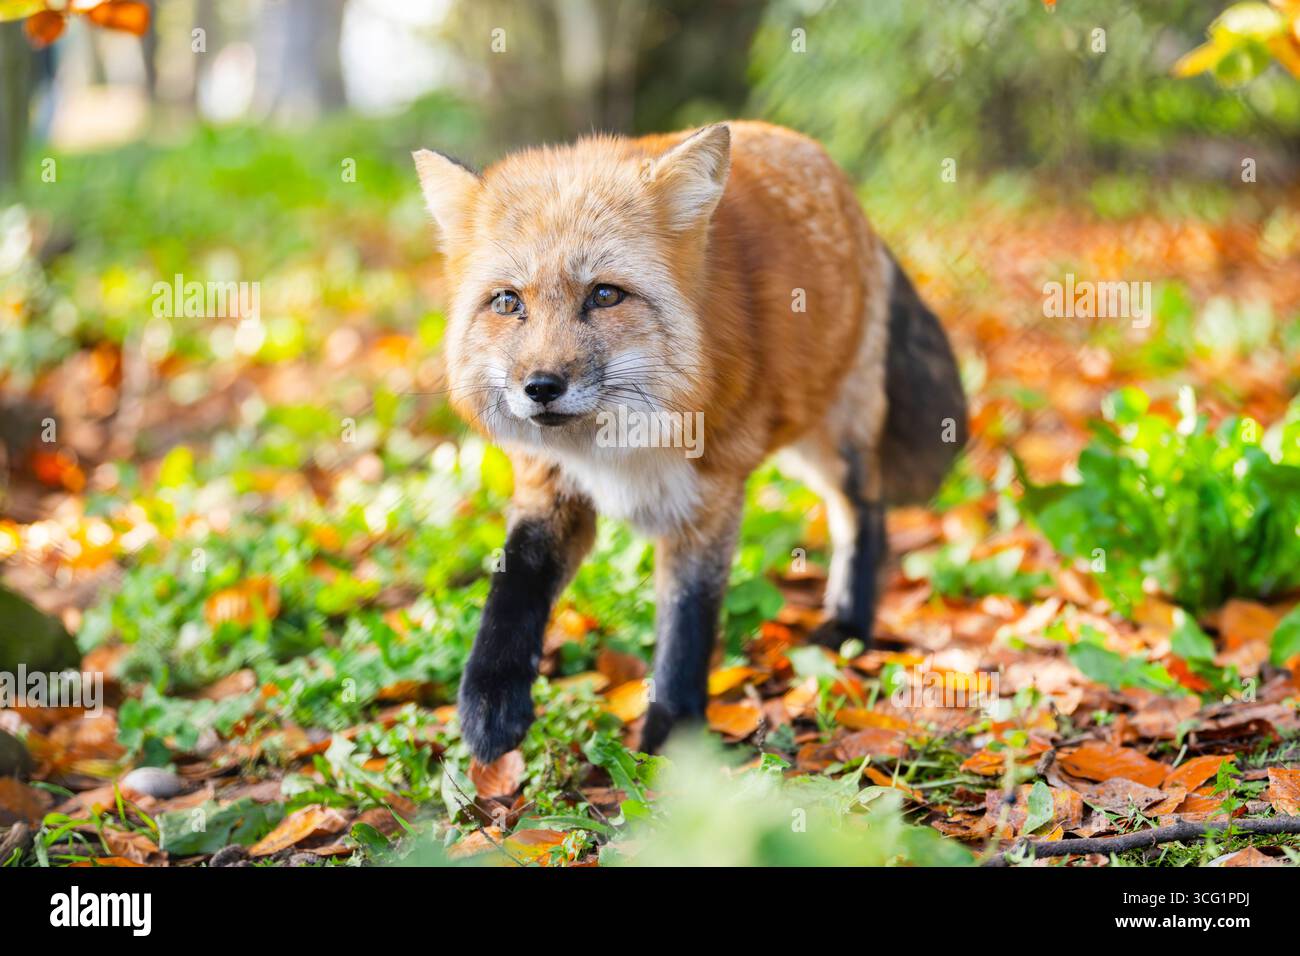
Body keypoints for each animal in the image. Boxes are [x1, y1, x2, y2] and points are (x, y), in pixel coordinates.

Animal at [413, 121, 966, 764]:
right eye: (508, 302)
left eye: (605, 295)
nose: (542, 388)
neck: (615, 445)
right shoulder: (550, 483)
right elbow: (513, 585)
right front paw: (490, 702)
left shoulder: (709, 494)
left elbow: (686, 622)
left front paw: (674, 743)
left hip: (832, 438)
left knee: (863, 512)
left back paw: (850, 623)